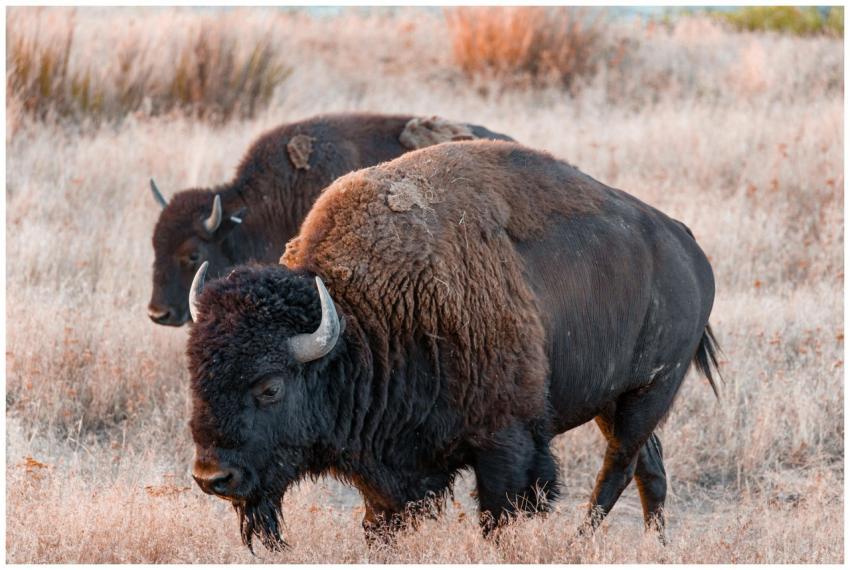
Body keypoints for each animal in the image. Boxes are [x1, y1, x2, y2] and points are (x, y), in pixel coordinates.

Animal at [186, 140, 720, 551]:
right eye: (196, 376)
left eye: (270, 387)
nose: (212, 477)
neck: (364, 317)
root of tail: (686, 244)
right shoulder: (389, 473)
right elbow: (380, 523)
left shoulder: (507, 445)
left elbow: (500, 516)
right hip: (614, 400)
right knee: (649, 468)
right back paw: (656, 545)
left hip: (649, 392)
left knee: (618, 467)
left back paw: (579, 542)